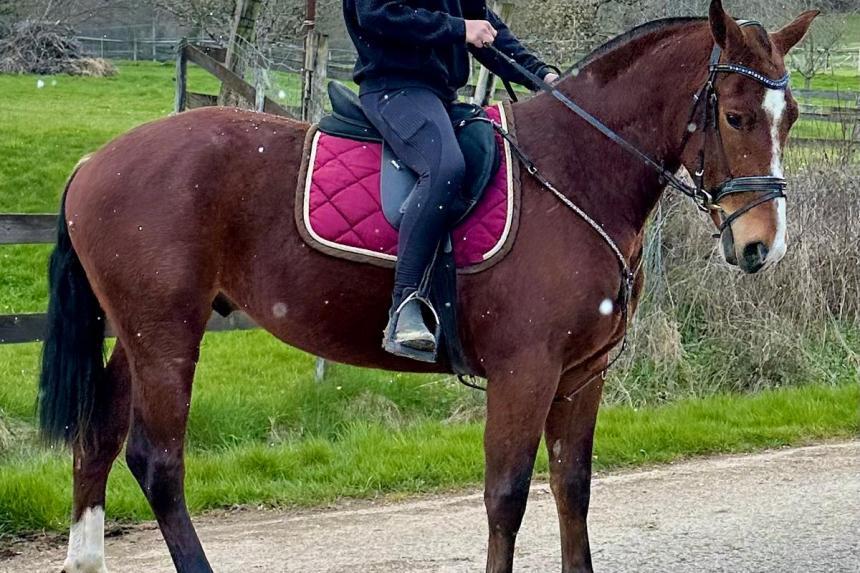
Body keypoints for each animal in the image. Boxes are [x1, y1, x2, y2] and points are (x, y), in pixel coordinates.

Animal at [40, 2, 816, 571]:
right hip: (167, 335)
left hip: (140, 331)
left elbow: (573, 490)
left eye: (793, 118)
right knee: (157, 461)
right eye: (735, 115)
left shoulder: (581, 375)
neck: (574, 169)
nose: (761, 245)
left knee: (98, 436)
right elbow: (507, 496)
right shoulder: (526, 371)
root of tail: (96, 159)